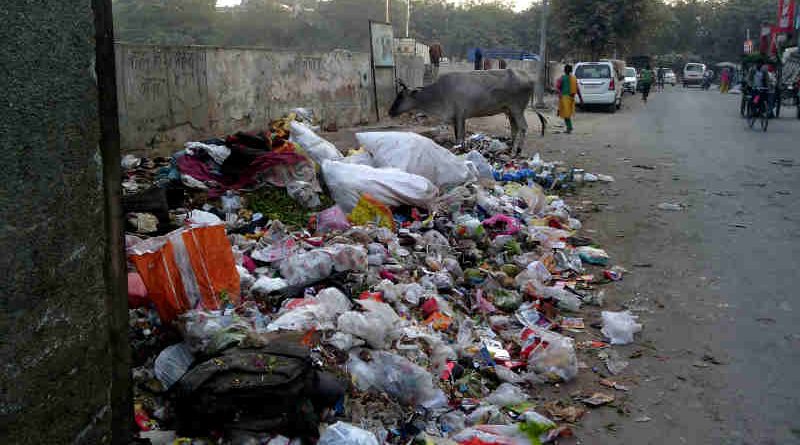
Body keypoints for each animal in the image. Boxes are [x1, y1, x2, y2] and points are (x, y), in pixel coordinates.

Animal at [390, 68, 552, 153]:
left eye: (401, 96)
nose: (390, 112)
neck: (439, 93)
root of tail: (529, 78)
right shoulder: (457, 118)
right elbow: (458, 136)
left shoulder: (460, 115)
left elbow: (460, 136)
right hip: (509, 110)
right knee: (515, 128)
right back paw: (511, 147)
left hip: (517, 109)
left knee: (523, 127)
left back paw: (516, 151)